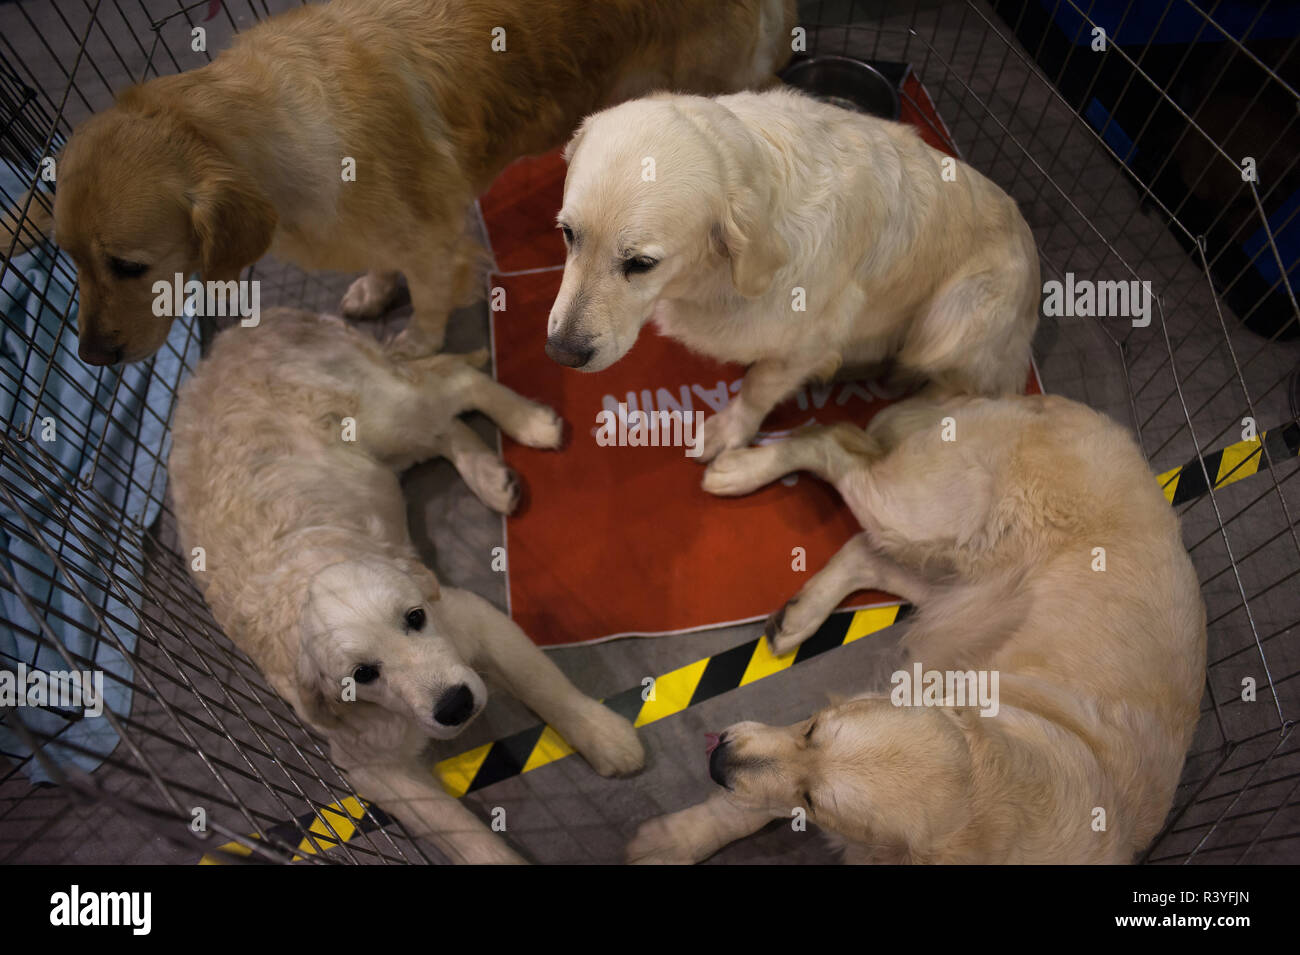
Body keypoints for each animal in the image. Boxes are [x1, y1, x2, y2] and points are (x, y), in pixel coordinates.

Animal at [50, 0, 795, 366]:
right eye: (69, 259)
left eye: (129, 265)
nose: (89, 357)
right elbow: (383, 262)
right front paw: (375, 289)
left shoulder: (436, 241)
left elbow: (432, 298)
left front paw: (417, 342)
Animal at [167, 310, 644, 862]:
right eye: (363, 675)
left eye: (415, 618)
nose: (455, 706)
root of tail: (237, 334)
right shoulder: (375, 768)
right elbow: (462, 833)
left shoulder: (473, 617)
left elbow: (545, 685)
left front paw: (603, 735)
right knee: (442, 425)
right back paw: (489, 476)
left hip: (383, 417)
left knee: (453, 382)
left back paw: (529, 423)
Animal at [543, 87, 1040, 462]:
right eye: (568, 234)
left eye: (641, 264)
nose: (561, 353)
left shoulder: (805, 340)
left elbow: (758, 388)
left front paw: (729, 431)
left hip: (953, 319)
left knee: (953, 388)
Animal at [624, 394, 1201, 867]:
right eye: (813, 728)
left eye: (815, 799)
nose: (719, 757)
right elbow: (743, 806)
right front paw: (675, 839)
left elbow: (758, 799)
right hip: (918, 513)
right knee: (831, 439)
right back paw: (741, 467)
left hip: (952, 584)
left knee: (863, 548)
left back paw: (799, 614)